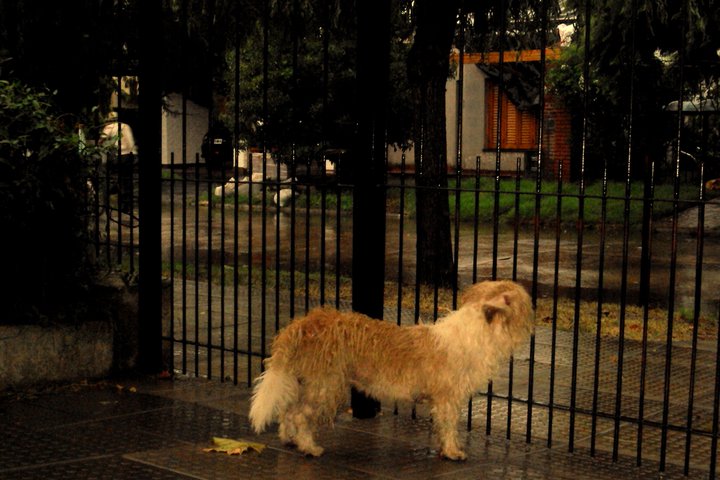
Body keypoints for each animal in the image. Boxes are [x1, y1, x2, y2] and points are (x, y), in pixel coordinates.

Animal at [249, 280, 536, 460]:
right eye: (526, 304)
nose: (535, 320)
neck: (479, 329)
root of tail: (307, 322)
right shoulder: (448, 399)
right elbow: (449, 426)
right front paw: (453, 452)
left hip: (306, 381)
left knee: (287, 410)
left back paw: (289, 439)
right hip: (325, 386)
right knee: (299, 415)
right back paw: (309, 447)